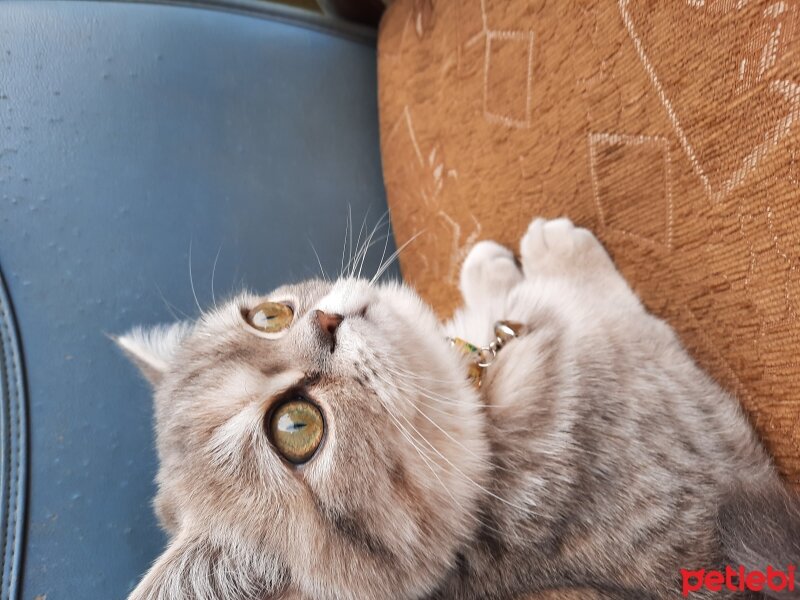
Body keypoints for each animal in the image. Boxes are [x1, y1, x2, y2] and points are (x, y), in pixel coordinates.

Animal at [115, 218, 796, 596]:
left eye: (268, 316)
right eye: (295, 427)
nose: (328, 320)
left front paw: (489, 269)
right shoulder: (680, 404)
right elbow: (601, 297)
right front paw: (556, 252)